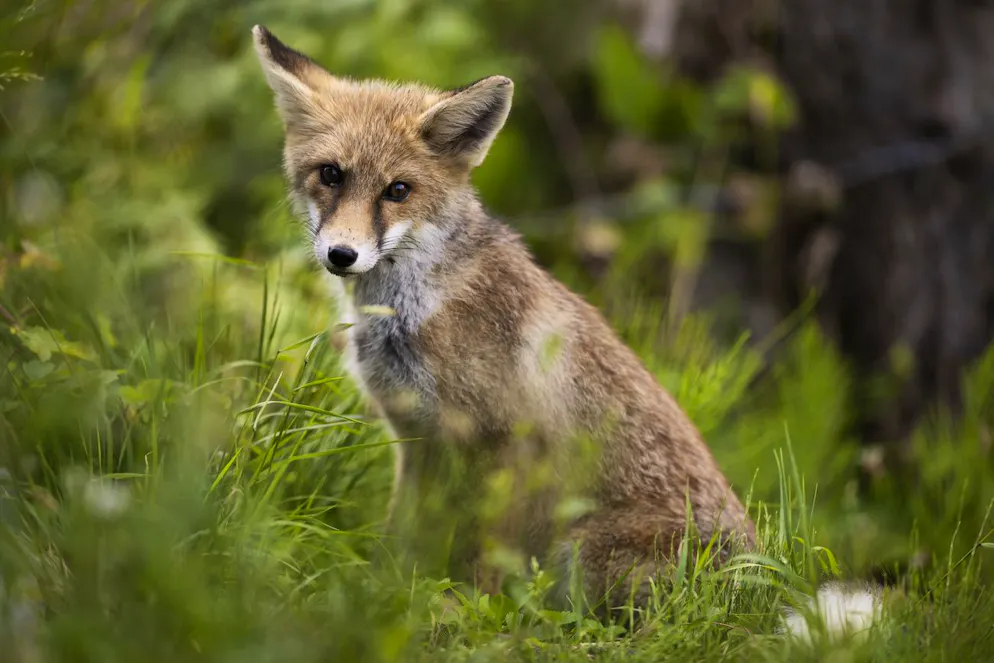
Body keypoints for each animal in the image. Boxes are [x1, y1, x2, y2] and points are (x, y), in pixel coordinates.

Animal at [252, 24, 882, 632]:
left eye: (398, 191)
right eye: (331, 175)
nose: (342, 255)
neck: (416, 311)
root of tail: (762, 586)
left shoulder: (507, 441)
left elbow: (483, 556)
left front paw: (464, 615)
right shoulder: (417, 438)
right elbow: (401, 539)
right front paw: (377, 597)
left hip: (578, 548)